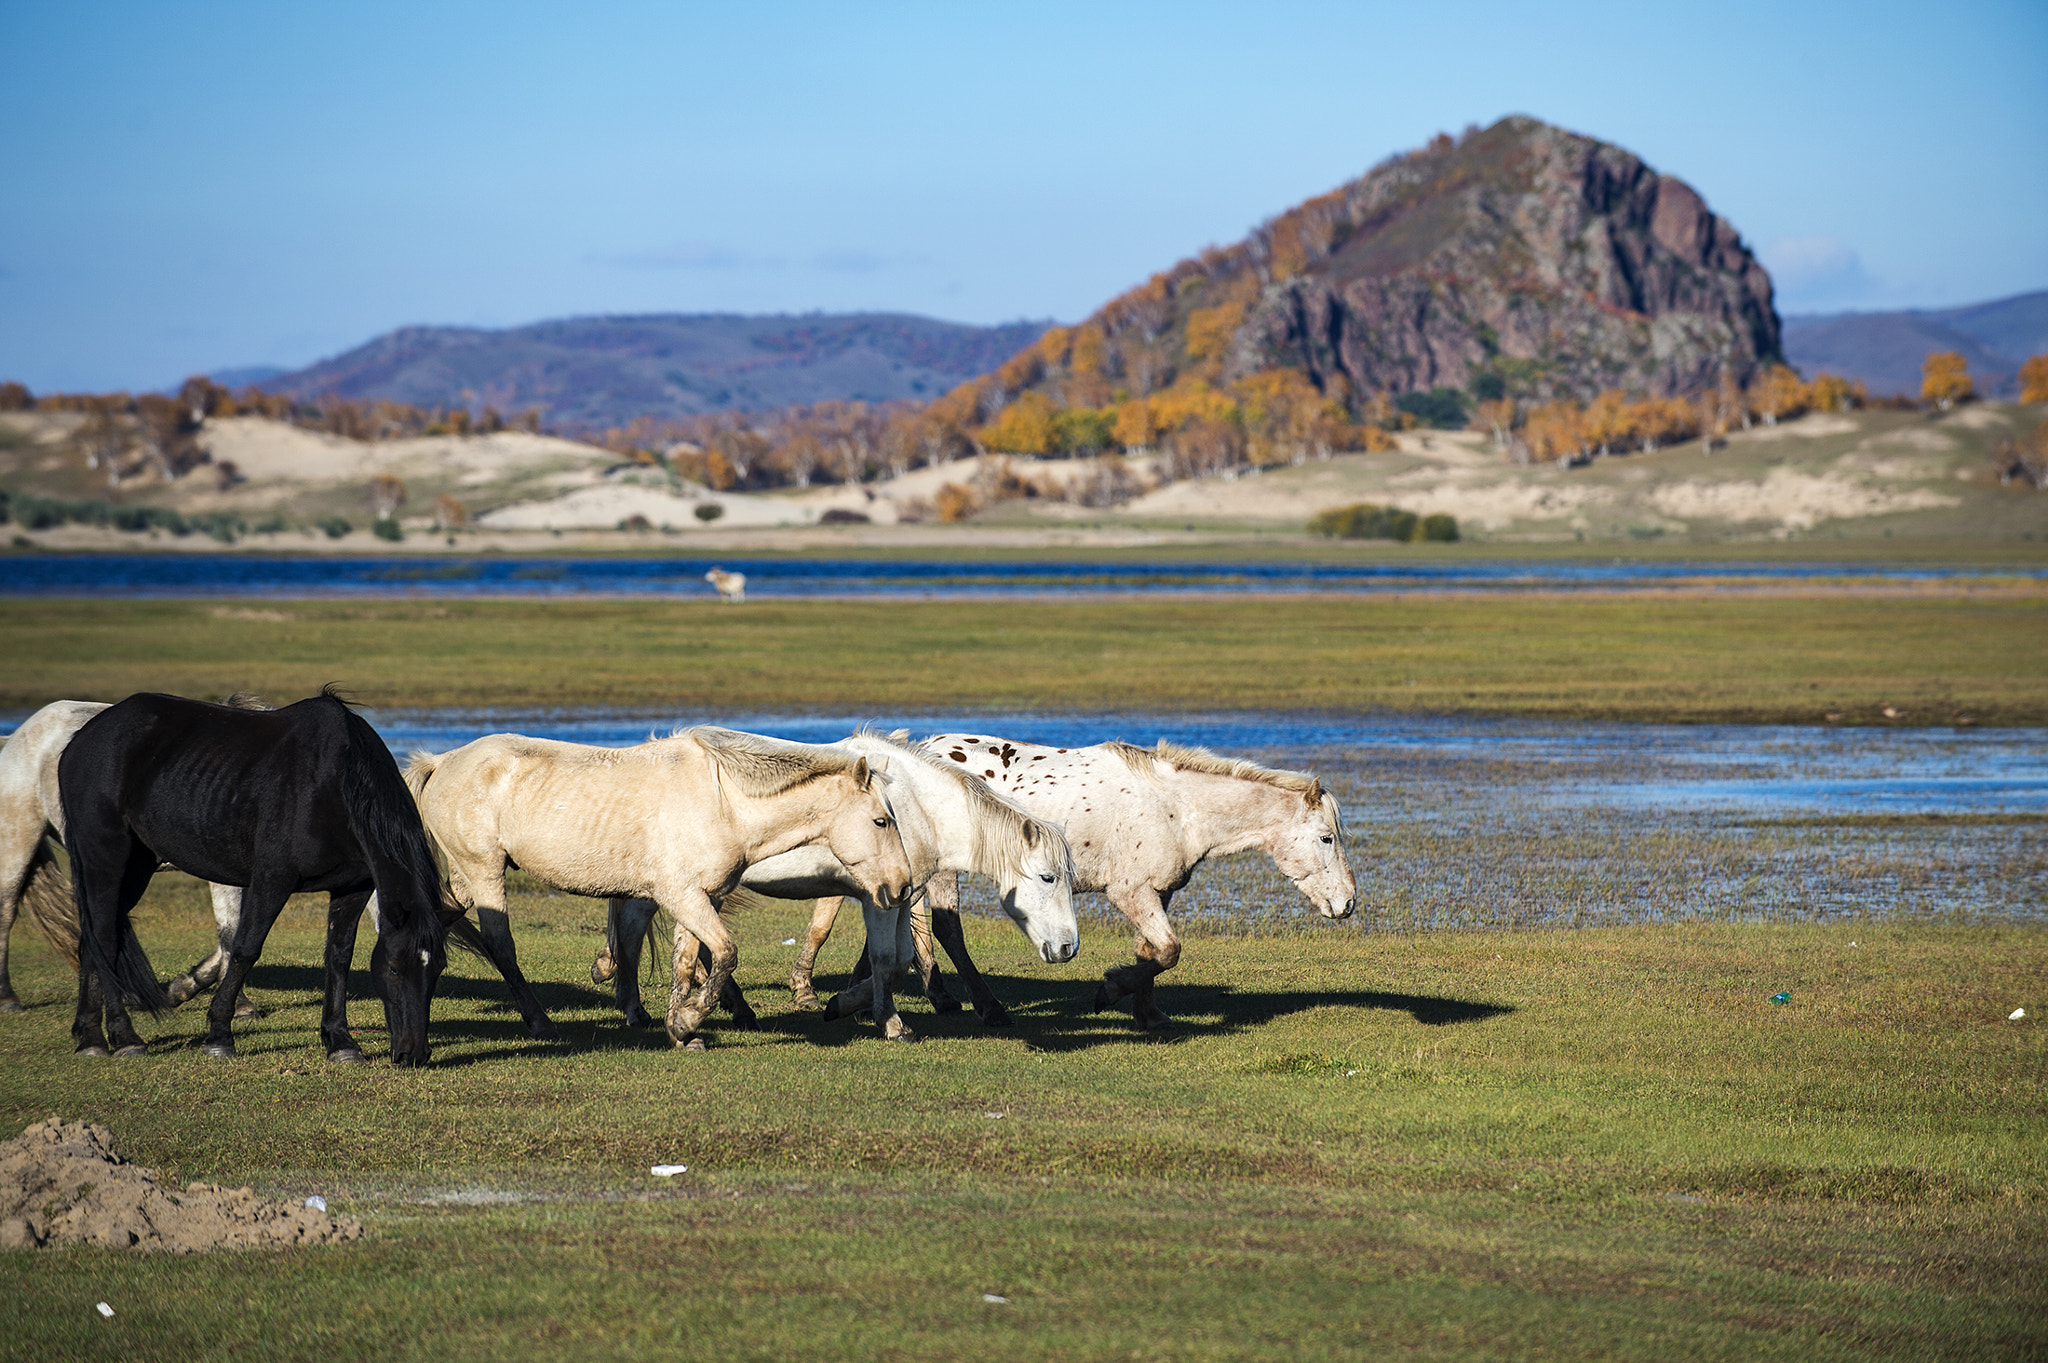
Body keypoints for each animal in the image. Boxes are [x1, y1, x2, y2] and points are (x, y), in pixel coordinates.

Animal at [1, 698, 262, 1016]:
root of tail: (18, 736)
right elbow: (230, 932)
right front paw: (240, 1005)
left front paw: (184, 987)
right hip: (18, 844)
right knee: (6, 911)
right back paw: (8, 998)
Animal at [57, 688, 451, 1065]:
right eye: (395, 968)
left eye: (437, 970)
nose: (414, 1054)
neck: (334, 786)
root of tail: (80, 740)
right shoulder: (271, 880)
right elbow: (246, 949)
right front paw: (219, 1035)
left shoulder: (351, 887)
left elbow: (338, 957)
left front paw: (340, 1042)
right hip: (105, 859)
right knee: (104, 939)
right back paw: (124, 1038)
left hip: (137, 866)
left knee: (91, 941)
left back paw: (89, 1038)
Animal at [401, 725, 911, 1050]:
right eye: (880, 820)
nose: (901, 887)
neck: (725, 803)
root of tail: (441, 762)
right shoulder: (681, 896)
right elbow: (725, 953)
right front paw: (687, 1020)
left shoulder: (701, 899)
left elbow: (687, 962)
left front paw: (680, 1030)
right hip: (485, 873)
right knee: (500, 944)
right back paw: (540, 1022)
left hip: (468, 879)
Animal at [591, 728, 1079, 1041]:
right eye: (1048, 877)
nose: (1068, 948)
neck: (915, 807)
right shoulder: (879, 900)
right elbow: (887, 959)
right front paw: (888, 1022)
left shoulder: (898, 896)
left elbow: (896, 957)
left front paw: (842, 1003)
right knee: (634, 933)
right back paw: (641, 1008)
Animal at [914, 734, 1357, 1032]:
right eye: (1326, 838)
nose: (1348, 903)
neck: (1177, 808)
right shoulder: (1130, 892)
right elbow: (1169, 951)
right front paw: (1109, 991)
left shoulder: (1158, 893)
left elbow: (1151, 953)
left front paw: (1150, 1015)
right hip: (943, 871)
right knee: (948, 929)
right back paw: (989, 1008)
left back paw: (939, 998)